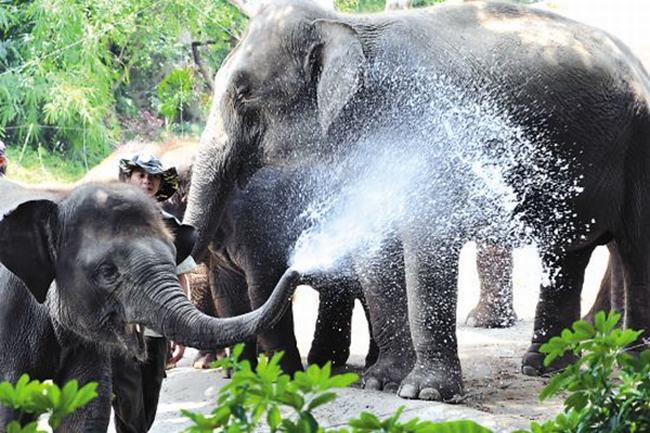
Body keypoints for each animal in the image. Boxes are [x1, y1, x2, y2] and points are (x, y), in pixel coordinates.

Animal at [182, 0, 648, 400]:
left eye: (243, 94)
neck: (351, 29)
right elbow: (376, 255)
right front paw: (381, 383)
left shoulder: (427, 136)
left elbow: (427, 242)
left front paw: (425, 393)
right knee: (567, 252)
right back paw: (543, 368)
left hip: (638, 147)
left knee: (634, 250)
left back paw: (631, 370)